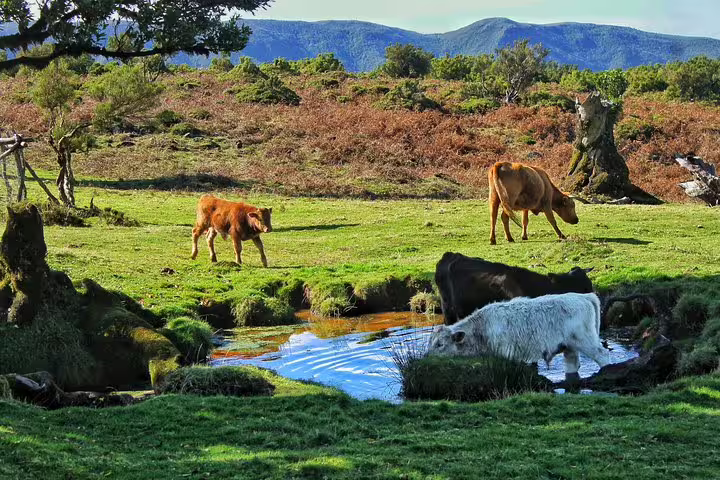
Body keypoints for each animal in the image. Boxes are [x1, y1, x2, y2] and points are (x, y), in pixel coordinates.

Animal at [427, 292, 611, 378]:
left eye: (440, 344)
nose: (427, 358)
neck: (482, 328)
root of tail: (583, 296)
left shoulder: (507, 354)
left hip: (585, 340)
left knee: (603, 355)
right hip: (570, 347)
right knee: (573, 364)